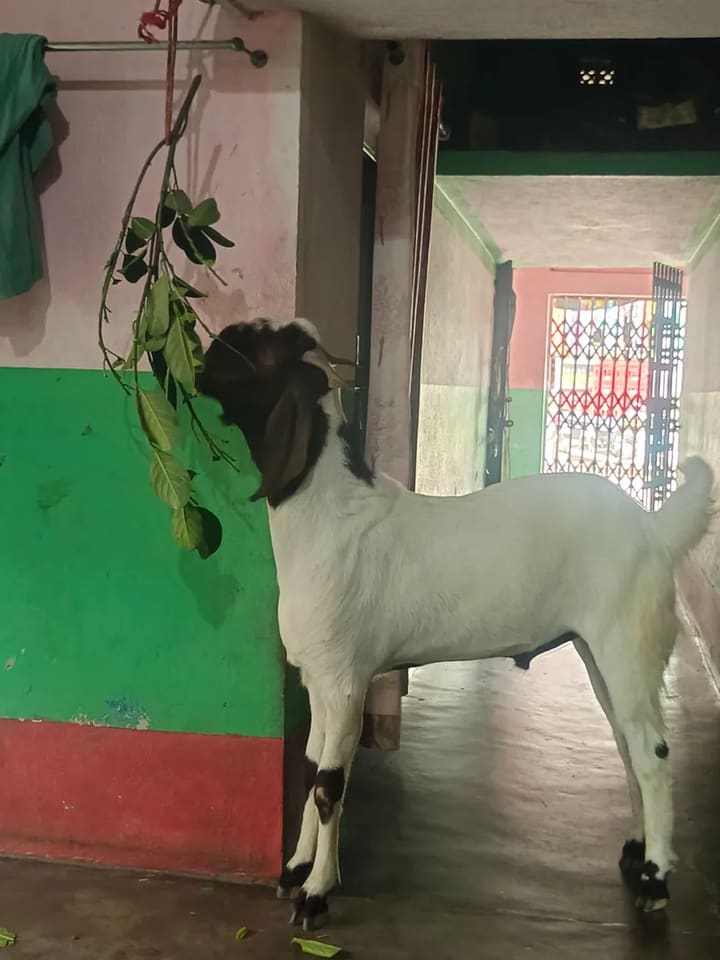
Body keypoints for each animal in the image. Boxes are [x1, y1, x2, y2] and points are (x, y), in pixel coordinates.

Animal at [198, 316, 714, 930]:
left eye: (261, 348)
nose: (203, 356)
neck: (329, 519)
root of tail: (654, 530)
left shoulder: (347, 680)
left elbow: (329, 785)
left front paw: (317, 892)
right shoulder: (318, 678)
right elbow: (307, 770)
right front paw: (295, 870)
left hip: (628, 643)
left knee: (653, 754)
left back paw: (656, 882)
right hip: (598, 653)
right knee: (627, 744)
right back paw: (636, 852)